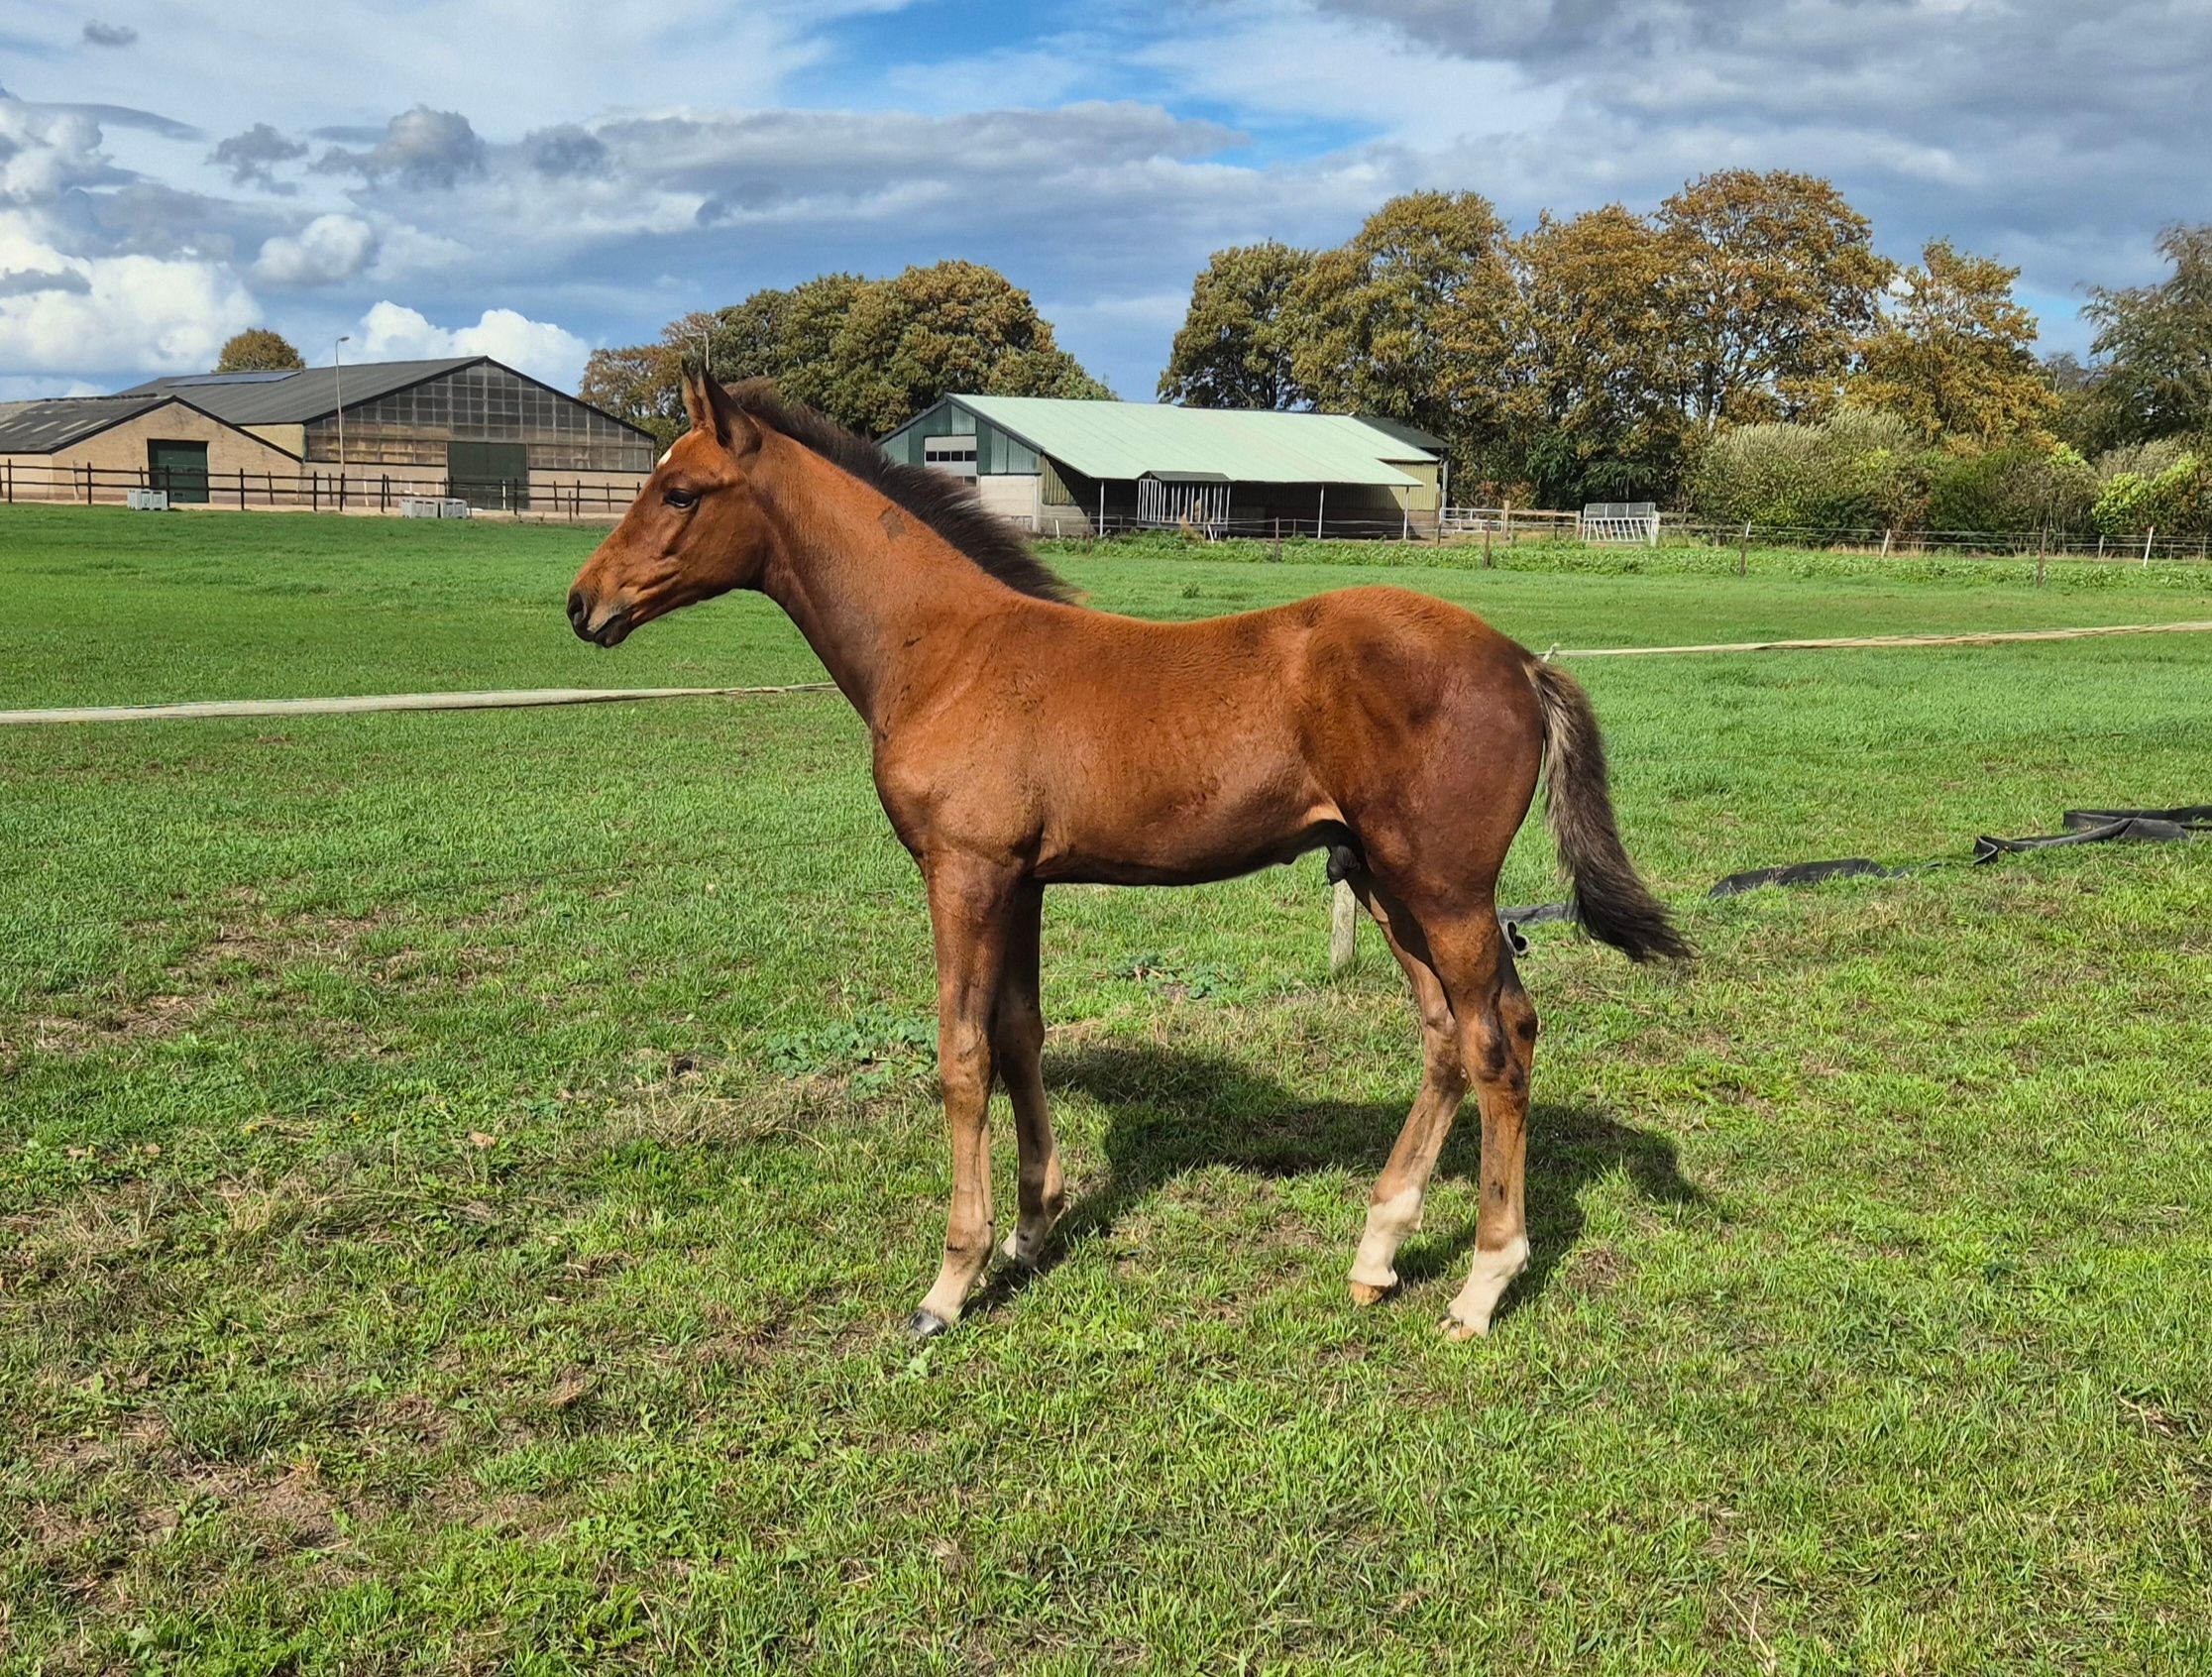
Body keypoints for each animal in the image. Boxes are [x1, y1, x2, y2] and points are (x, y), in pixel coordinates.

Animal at [567, 366, 1687, 1343]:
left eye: (679, 491)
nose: (584, 605)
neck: (945, 651)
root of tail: (1521, 663)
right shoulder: (1018, 882)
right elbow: (1019, 1034)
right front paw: (1030, 1232)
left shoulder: (963, 873)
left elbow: (962, 1056)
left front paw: (949, 1282)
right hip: (1384, 880)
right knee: (1447, 1035)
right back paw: (1377, 1253)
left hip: (1444, 888)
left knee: (1502, 1039)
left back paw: (1481, 1286)